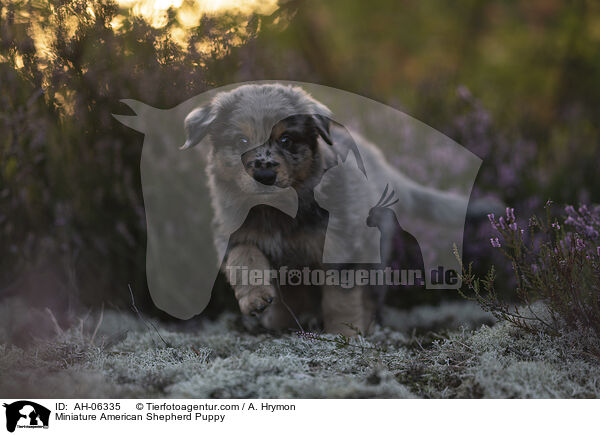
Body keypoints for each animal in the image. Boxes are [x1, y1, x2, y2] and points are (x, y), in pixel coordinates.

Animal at [183, 86, 478, 338]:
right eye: (241, 140)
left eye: (286, 140)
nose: (265, 175)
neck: (278, 211)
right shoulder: (232, 233)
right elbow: (244, 259)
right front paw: (255, 297)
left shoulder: (340, 247)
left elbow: (340, 299)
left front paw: (344, 333)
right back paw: (280, 322)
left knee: (370, 296)